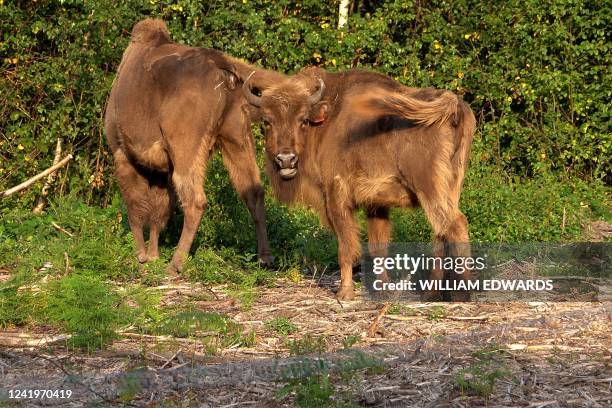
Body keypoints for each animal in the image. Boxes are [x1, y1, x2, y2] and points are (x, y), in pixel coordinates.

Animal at [105, 19, 280, 274]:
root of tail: (222, 64)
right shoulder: (162, 169)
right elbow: (159, 211)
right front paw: (152, 255)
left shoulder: (124, 154)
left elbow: (136, 207)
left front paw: (142, 256)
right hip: (236, 137)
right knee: (254, 191)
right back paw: (265, 258)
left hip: (187, 148)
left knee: (195, 200)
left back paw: (176, 264)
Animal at [244, 68, 478, 302]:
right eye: (267, 121)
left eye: (303, 120)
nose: (286, 159)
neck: (326, 121)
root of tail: (454, 105)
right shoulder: (376, 204)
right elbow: (377, 248)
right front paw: (382, 289)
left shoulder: (336, 197)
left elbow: (346, 245)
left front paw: (345, 292)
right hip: (451, 188)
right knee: (440, 233)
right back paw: (431, 294)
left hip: (429, 188)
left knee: (455, 225)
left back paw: (461, 295)